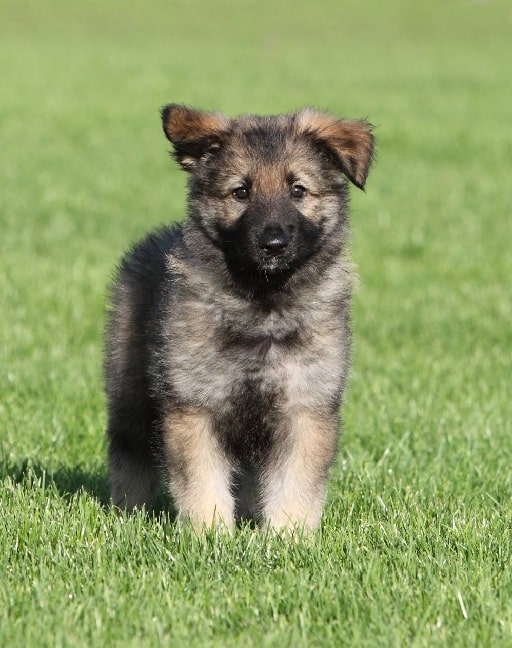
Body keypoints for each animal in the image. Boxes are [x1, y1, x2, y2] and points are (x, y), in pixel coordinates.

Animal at [105, 105, 376, 532]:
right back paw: (129, 515)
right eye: (241, 192)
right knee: (129, 459)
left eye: (298, 190)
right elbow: (202, 483)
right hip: (131, 396)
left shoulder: (305, 408)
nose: (273, 243)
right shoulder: (193, 405)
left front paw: (287, 537)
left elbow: (294, 485)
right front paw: (209, 534)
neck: (262, 305)